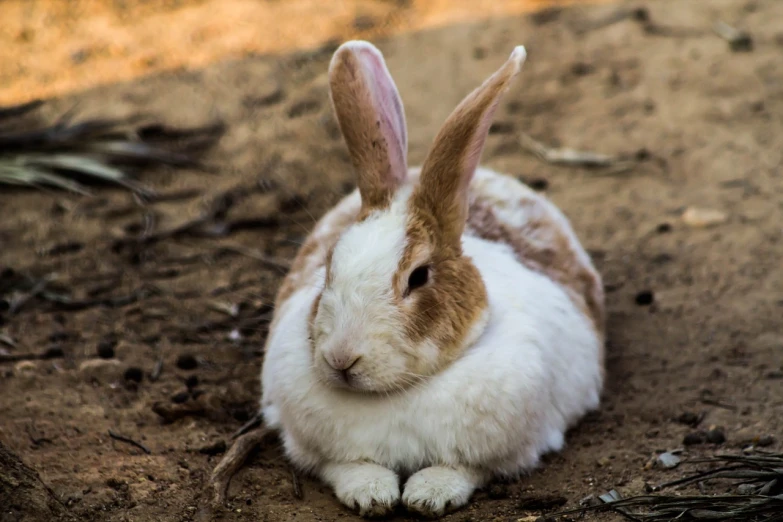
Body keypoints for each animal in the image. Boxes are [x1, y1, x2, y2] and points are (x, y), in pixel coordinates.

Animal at [260, 40, 608, 516]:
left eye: (419, 276)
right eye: (329, 266)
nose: (341, 359)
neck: (399, 393)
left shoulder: (505, 451)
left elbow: (461, 469)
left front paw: (429, 496)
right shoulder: (320, 451)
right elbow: (349, 467)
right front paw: (371, 495)